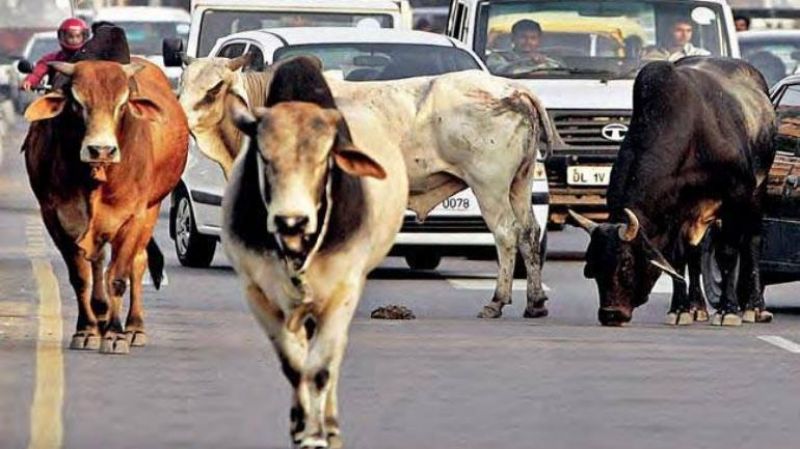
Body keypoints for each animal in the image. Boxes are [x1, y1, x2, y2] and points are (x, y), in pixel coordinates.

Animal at [22, 58, 189, 353]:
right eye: (77, 103)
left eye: (122, 104)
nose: (101, 150)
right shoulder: (54, 217)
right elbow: (80, 277)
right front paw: (86, 330)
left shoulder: (133, 217)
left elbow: (118, 277)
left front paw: (115, 334)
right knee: (98, 261)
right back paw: (99, 315)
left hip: (152, 210)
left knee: (137, 262)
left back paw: (133, 327)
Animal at [179, 55, 556, 319]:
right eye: (181, 84)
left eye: (214, 88)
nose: (180, 118)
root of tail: (515, 90)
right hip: (519, 183)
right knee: (529, 232)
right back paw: (535, 302)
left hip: (489, 186)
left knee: (506, 234)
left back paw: (497, 301)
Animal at [222, 56, 408, 449]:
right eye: (264, 156)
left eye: (324, 159)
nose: (291, 220)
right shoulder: (257, 294)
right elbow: (295, 367)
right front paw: (301, 428)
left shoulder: (343, 292)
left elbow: (321, 368)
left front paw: (318, 434)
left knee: (332, 358)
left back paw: (331, 423)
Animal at [570, 57, 776, 327]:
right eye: (592, 267)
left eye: (626, 264)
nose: (610, 314)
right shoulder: (676, 212)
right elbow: (677, 259)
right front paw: (680, 309)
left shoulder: (736, 196)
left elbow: (728, 253)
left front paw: (728, 310)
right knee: (695, 254)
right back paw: (698, 307)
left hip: (756, 194)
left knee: (752, 242)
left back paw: (755, 307)